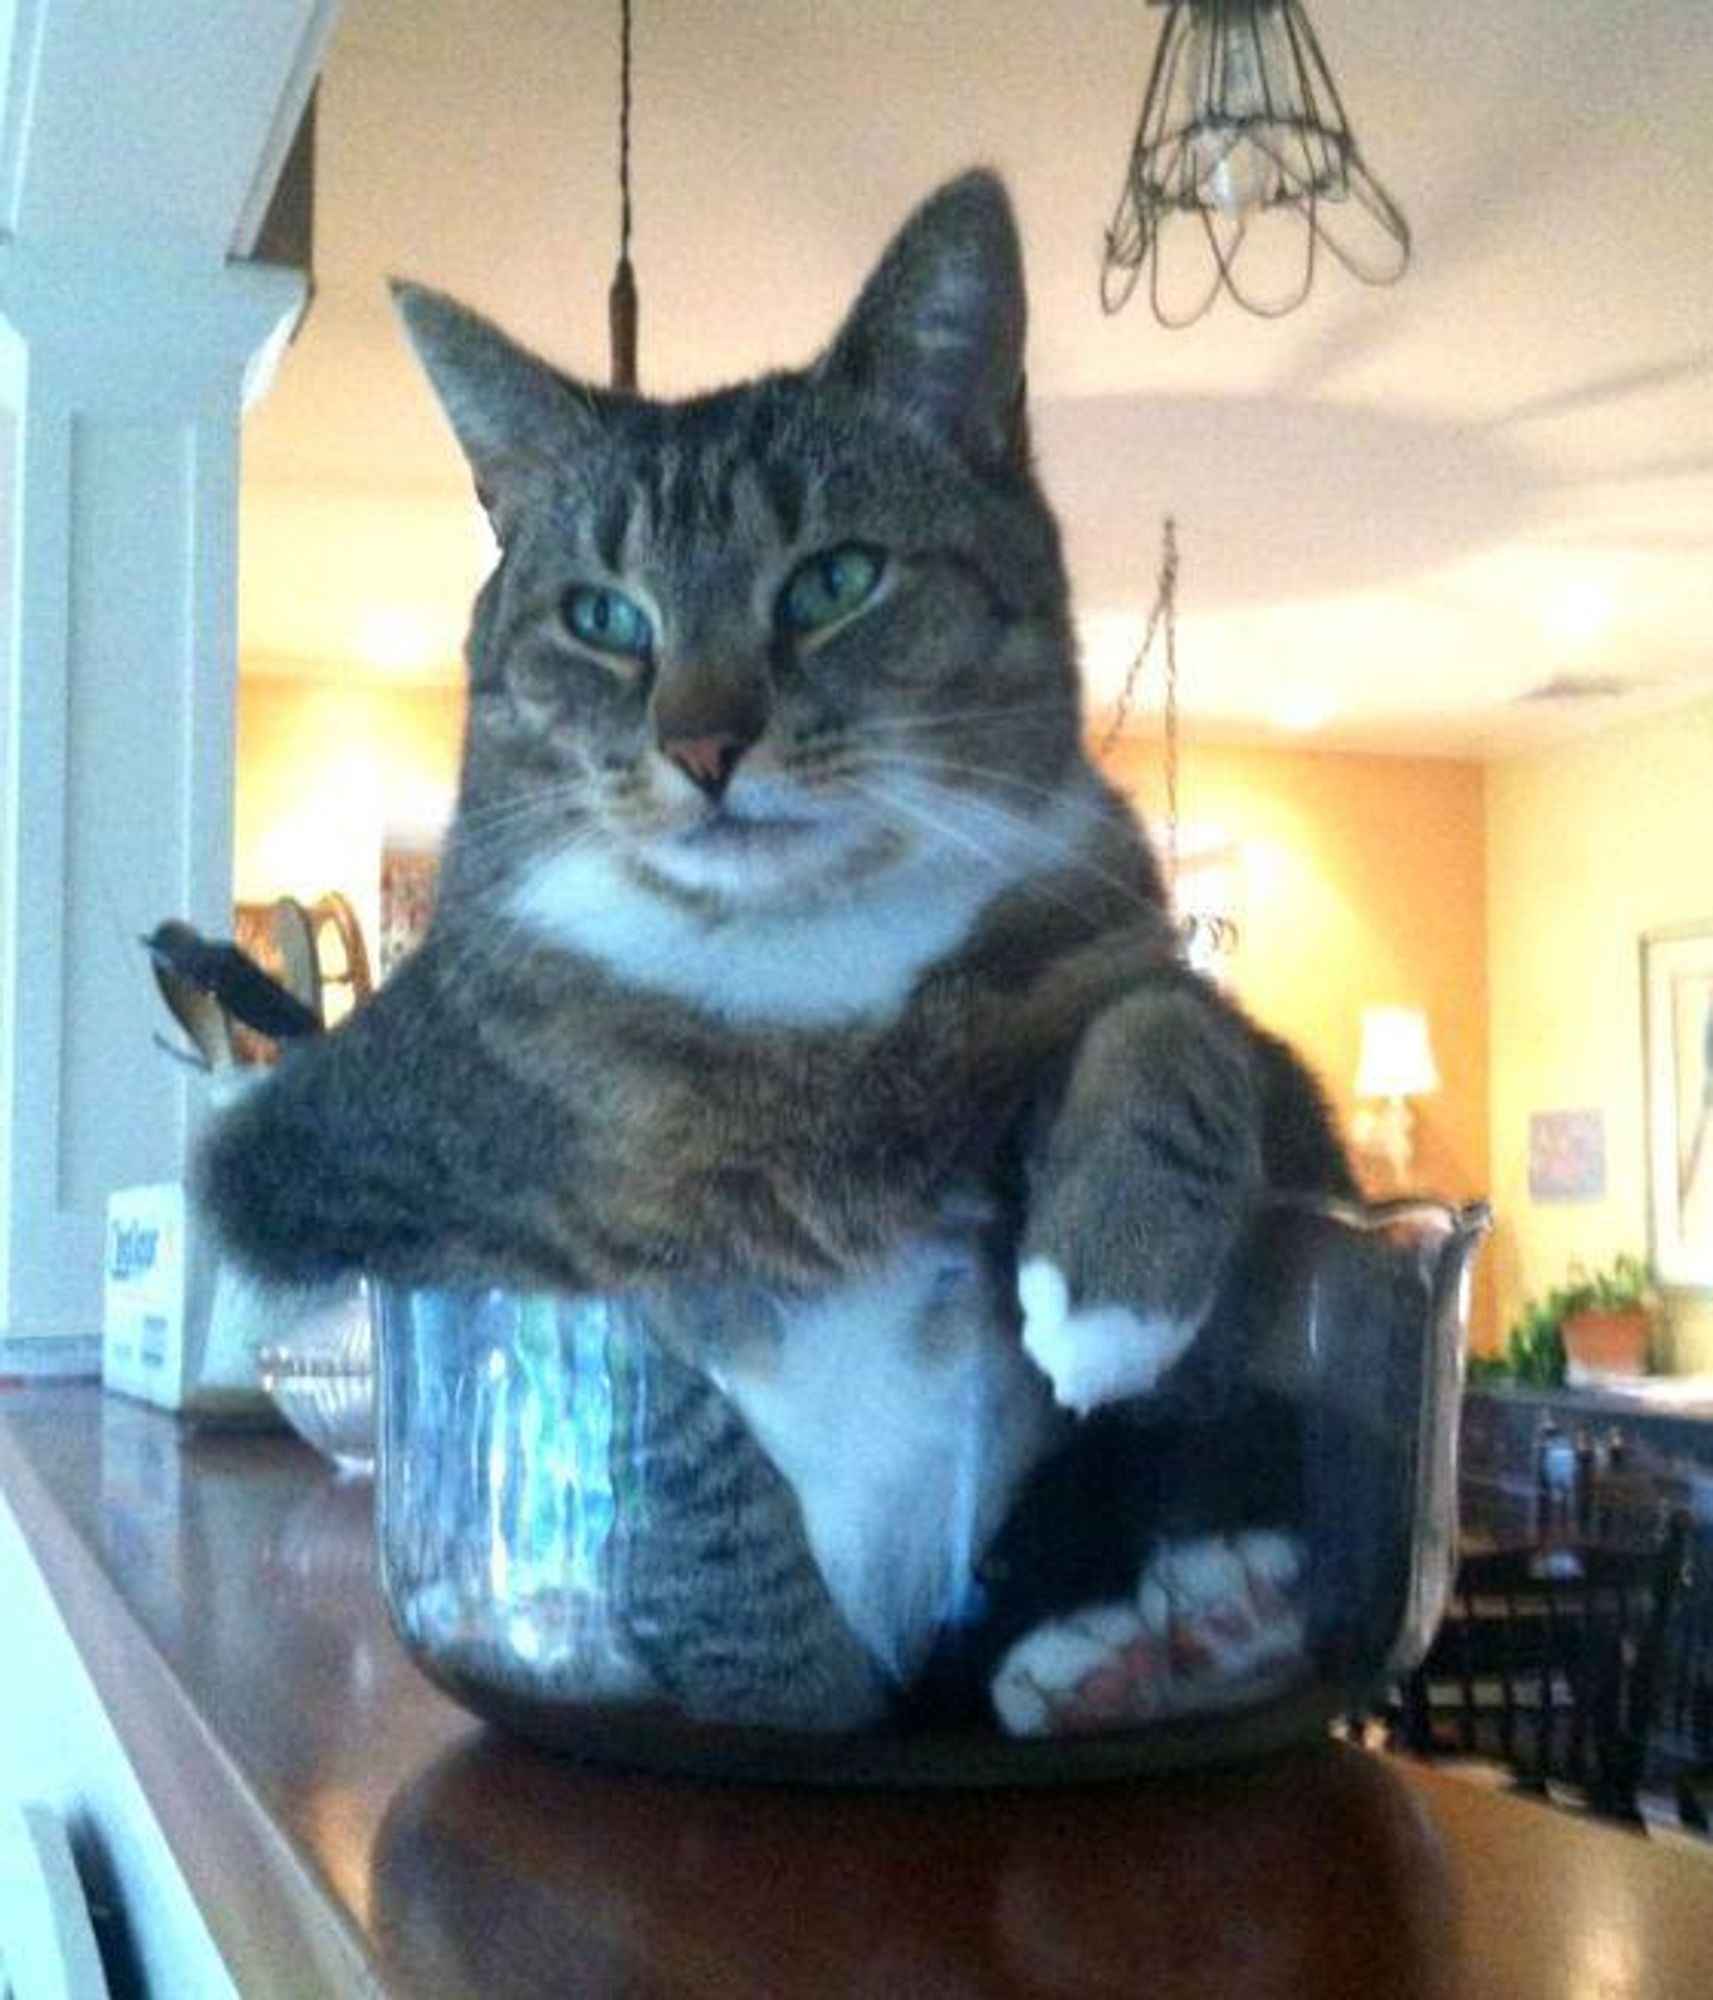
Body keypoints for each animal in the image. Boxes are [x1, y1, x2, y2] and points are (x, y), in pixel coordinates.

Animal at [201, 172, 1352, 1736]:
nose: (703, 744)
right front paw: (795, 1687)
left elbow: (1175, 1022)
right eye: (602, 617)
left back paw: (1173, 1633)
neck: (797, 972)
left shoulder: (1159, 980)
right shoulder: (338, 1170)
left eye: (834, 581)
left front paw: (1111, 1284)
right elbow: (671, 1426)